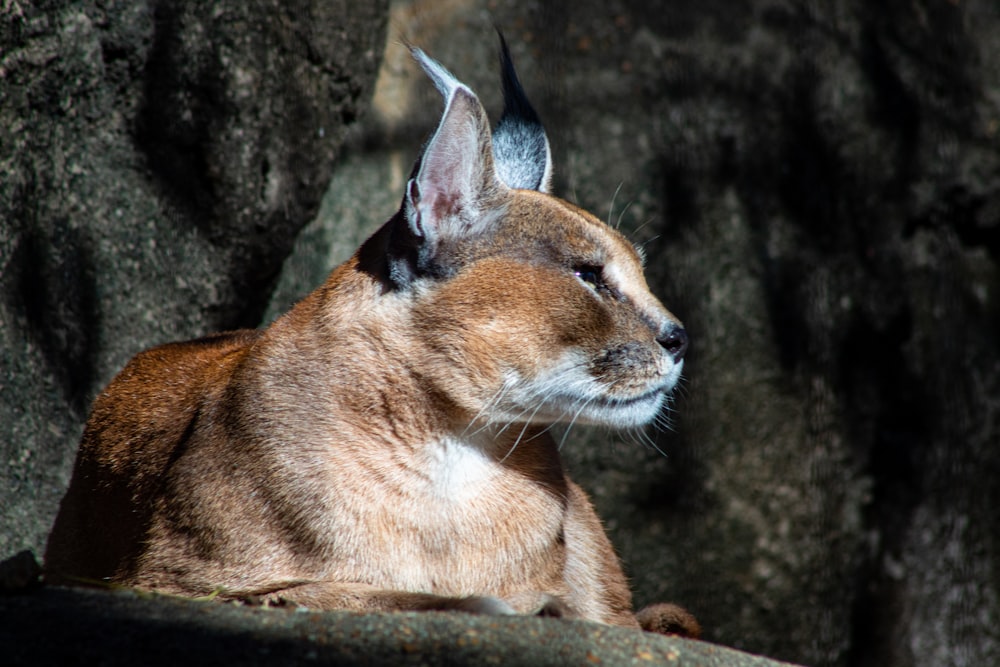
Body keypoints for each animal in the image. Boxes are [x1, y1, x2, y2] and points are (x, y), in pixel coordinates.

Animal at [47, 35, 700, 636]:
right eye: (588, 274)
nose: (679, 338)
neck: (449, 445)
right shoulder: (168, 581)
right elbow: (327, 591)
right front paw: (498, 604)